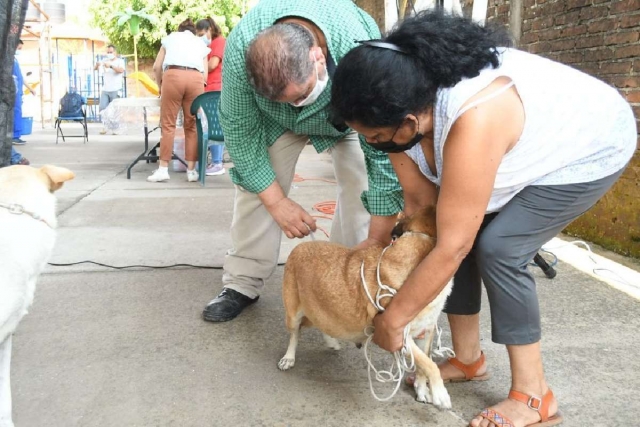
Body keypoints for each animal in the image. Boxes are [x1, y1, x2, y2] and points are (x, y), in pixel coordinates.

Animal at [280, 206, 456, 410]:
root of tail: (300, 246)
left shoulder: (426, 331)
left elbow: (423, 363)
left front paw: (422, 389)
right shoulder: (398, 335)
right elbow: (430, 364)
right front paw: (440, 393)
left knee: (322, 322)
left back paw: (331, 340)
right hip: (293, 315)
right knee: (295, 334)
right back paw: (289, 357)